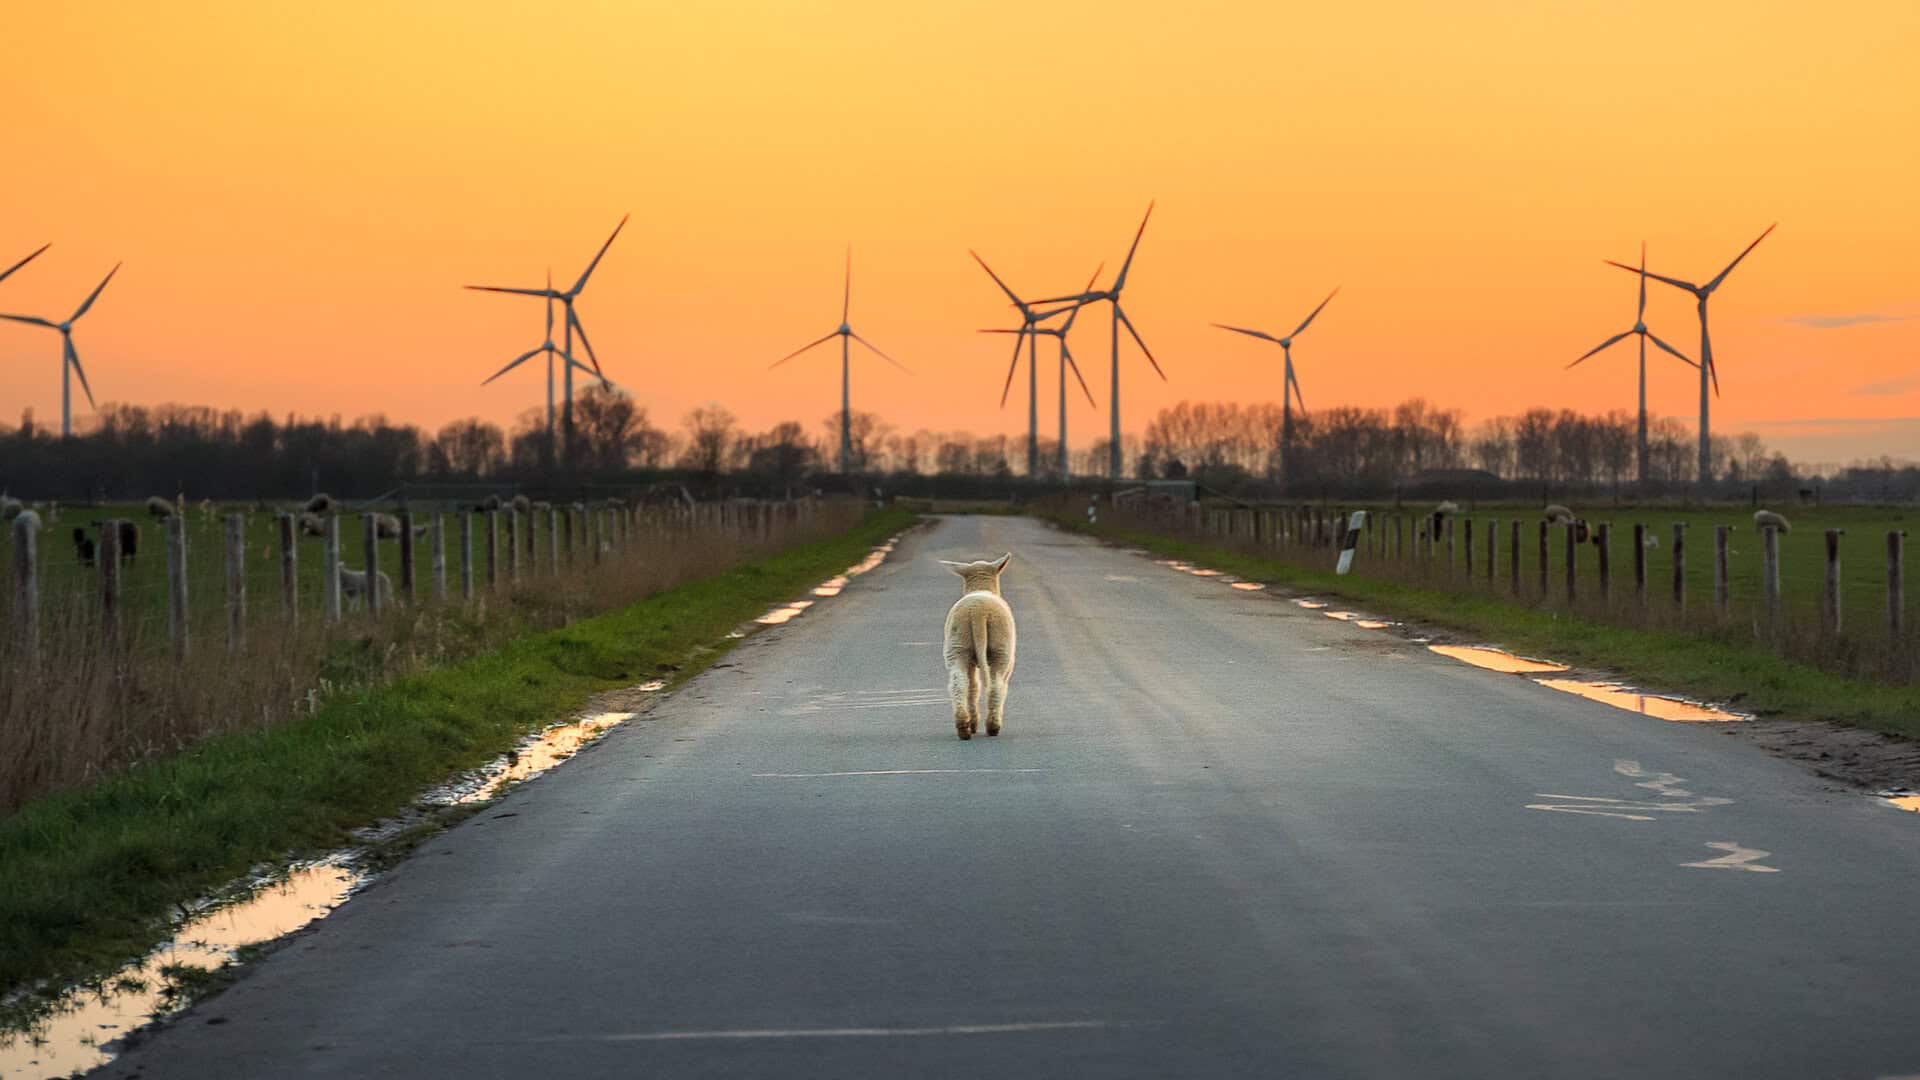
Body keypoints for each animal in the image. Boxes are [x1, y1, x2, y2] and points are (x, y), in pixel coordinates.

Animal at [940, 553, 1021, 737]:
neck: (981, 587)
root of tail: (977, 612)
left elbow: (972, 687)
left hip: (958, 645)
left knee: (959, 683)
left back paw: (964, 726)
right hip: (1001, 647)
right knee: (997, 684)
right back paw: (992, 726)